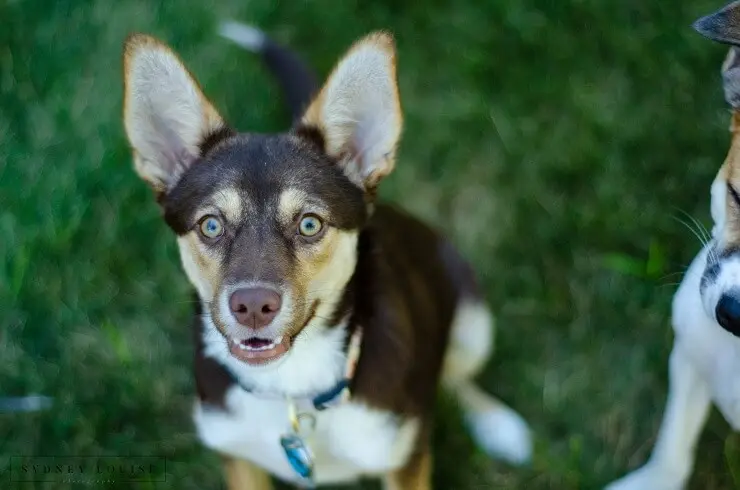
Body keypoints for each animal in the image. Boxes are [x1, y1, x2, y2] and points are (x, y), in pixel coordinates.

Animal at [121, 21, 528, 488]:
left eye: (310, 224)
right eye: (210, 225)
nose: (253, 306)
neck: (290, 388)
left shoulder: (403, 461)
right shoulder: (237, 456)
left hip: (473, 323)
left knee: (458, 377)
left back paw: (497, 424)